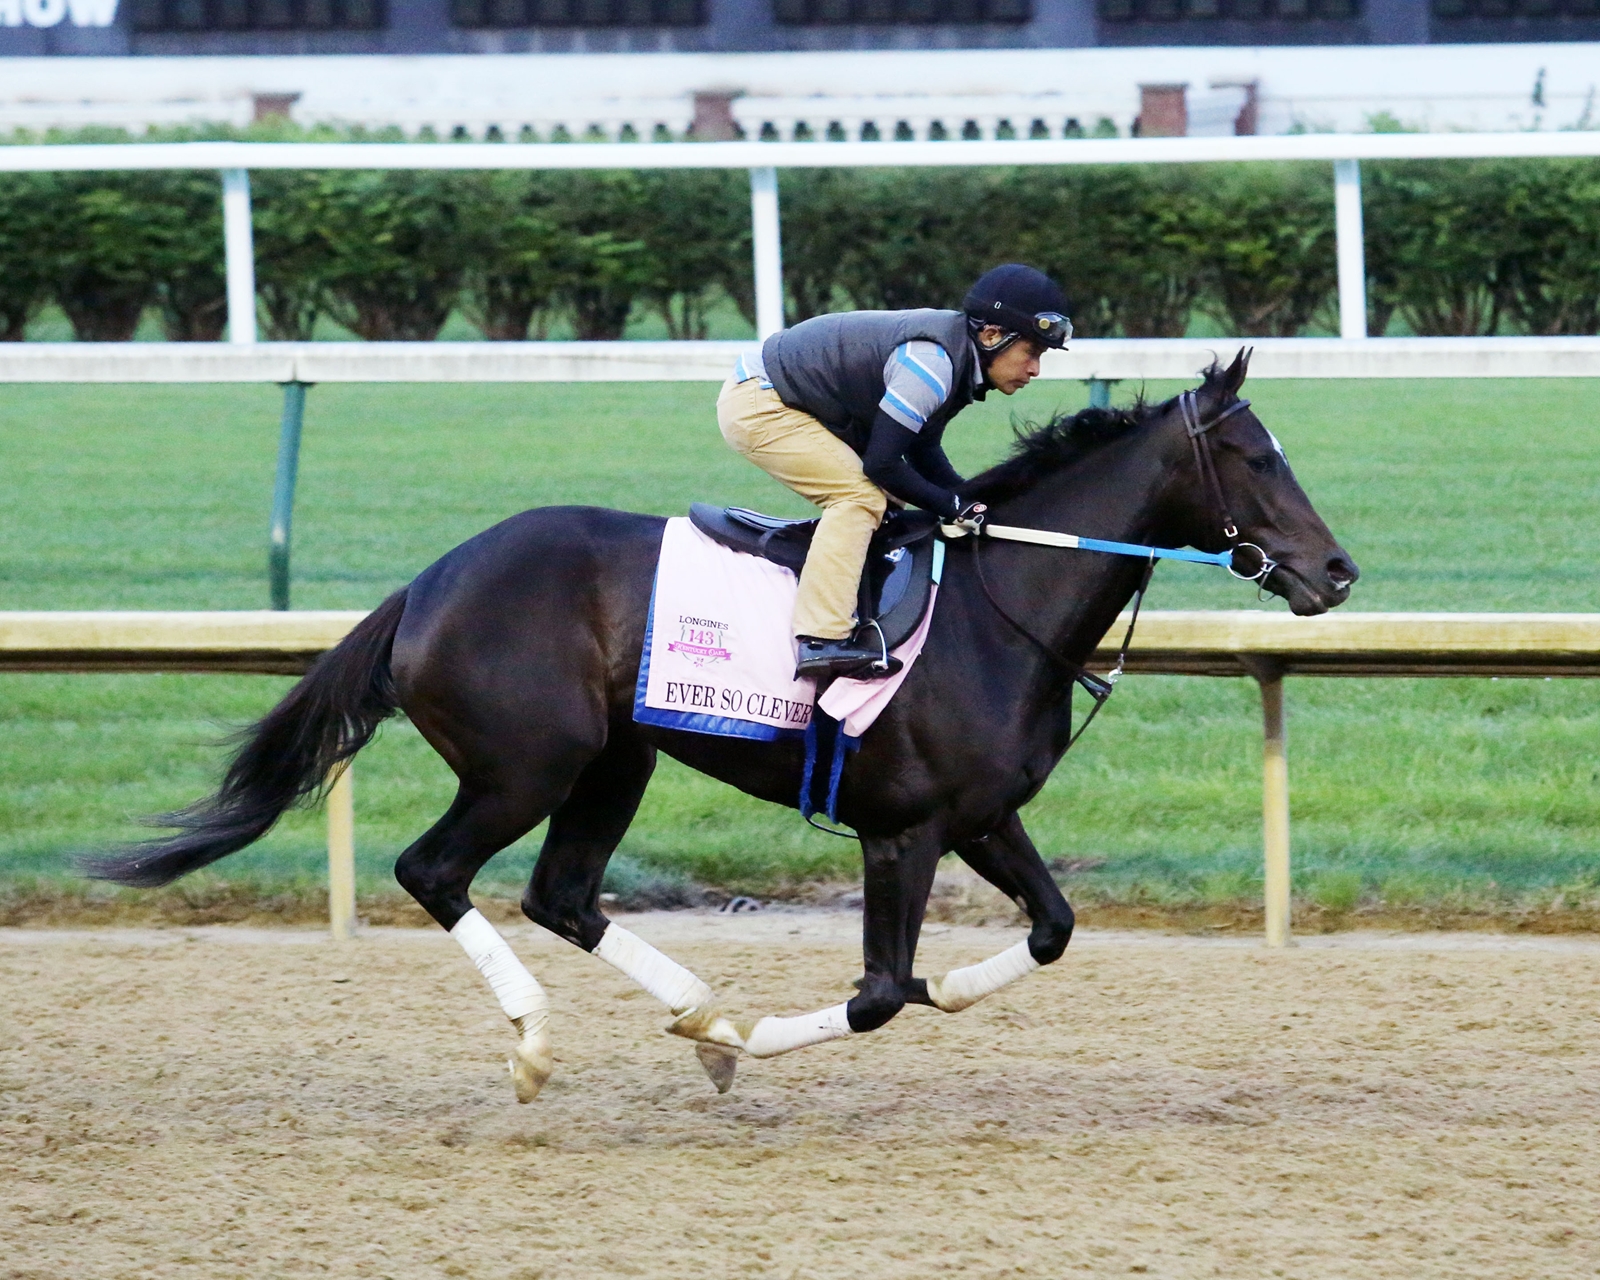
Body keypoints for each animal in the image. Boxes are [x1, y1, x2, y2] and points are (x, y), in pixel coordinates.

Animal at [87, 347, 1356, 1100]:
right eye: (1253, 457)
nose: (1337, 571)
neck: (999, 607)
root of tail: (431, 580)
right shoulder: (902, 830)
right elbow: (876, 991)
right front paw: (766, 1037)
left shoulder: (981, 815)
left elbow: (1050, 926)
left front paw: (929, 991)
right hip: (525, 763)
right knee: (434, 869)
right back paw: (543, 1040)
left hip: (615, 759)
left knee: (562, 893)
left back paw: (694, 1012)